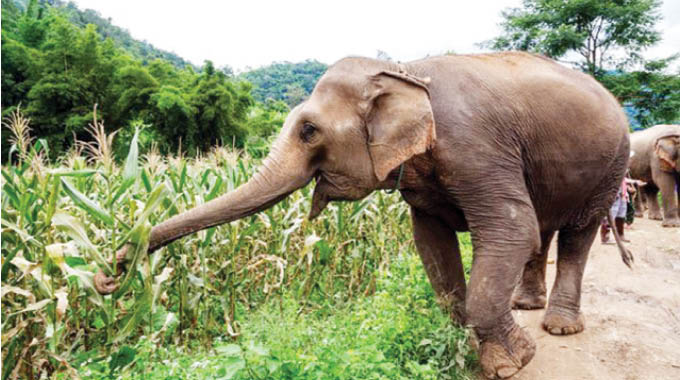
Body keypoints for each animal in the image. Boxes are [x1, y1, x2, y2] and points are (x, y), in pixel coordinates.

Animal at [95, 52, 632, 378]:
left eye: (309, 131)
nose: (110, 271)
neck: (402, 69)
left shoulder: (477, 146)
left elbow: (508, 228)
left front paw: (511, 362)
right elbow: (431, 243)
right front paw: (462, 349)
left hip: (611, 166)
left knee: (577, 233)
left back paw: (559, 327)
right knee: (543, 230)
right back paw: (525, 306)